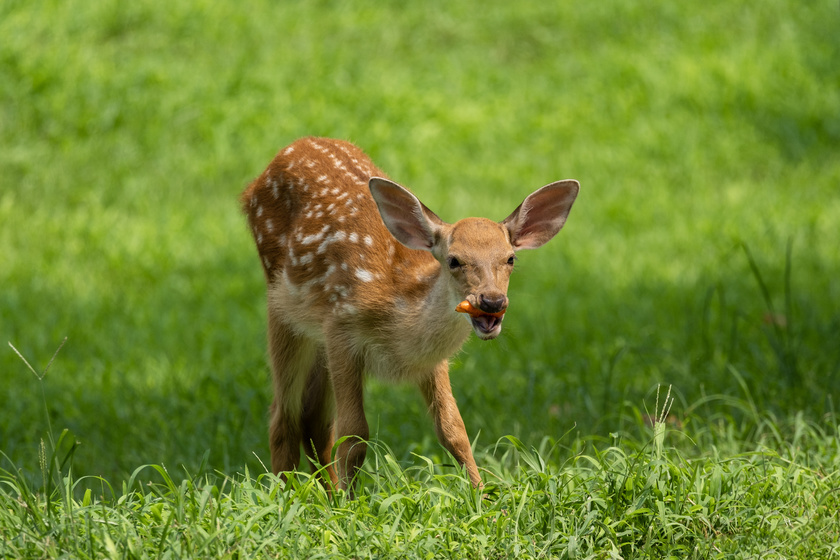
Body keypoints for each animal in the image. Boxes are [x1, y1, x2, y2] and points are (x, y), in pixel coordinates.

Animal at [238, 138, 576, 492]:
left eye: (510, 258)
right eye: (454, 260)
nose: (492, 301)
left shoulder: (431, 361)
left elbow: (454, 430)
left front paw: (483, 497)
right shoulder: (340, 328)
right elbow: (354, 433)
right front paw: (349, 504)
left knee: (313, 416)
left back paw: (322, 493)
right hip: (283, 310)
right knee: (283, 415)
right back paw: (286, 493)